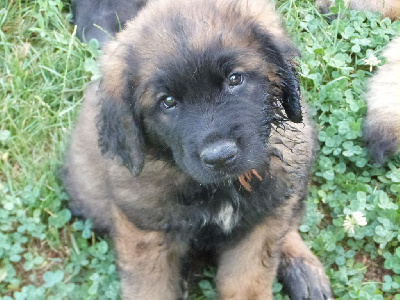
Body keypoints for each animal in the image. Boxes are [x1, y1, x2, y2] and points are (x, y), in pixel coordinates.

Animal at [63, 0, 332, 298]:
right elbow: (150, 288)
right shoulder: (146, 230)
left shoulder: (260, 225)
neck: (220, 188)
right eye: (168, 102)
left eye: (235, 79)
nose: (220, 157)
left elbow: (246, 281)